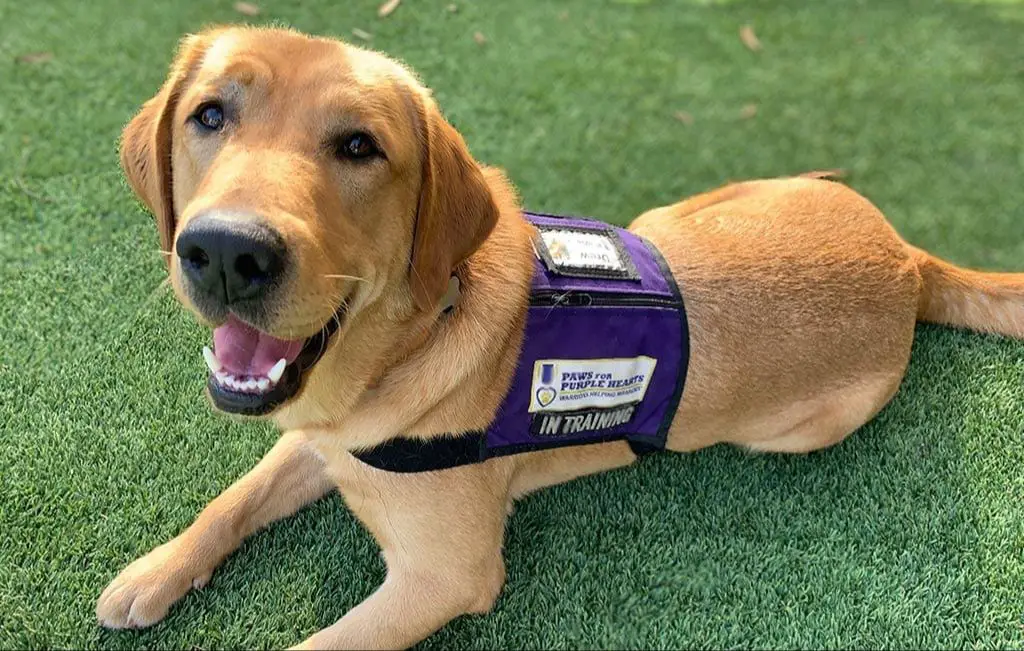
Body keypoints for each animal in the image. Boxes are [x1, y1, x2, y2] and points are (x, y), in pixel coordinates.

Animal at [96, 26, 1024, 651]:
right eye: (210, 115)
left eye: (360, 146)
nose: (226, 252)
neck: (410, 339)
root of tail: (907, 256)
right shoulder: (320, 433)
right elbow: (234, 497)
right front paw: (154, 569)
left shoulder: (442, 575)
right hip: (678, 213)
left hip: (794, 429)